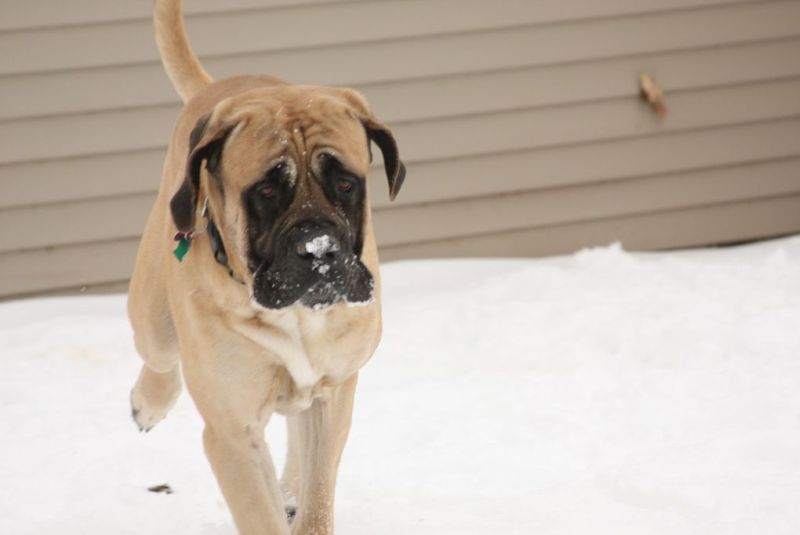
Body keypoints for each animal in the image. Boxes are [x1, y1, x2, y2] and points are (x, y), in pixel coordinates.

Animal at [130, 2, 406, 532]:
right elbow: (260, 513)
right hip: (152, 312)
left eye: (345, 183)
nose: (319, 249)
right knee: (159, 355)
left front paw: (302, 503)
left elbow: (318, 494)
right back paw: (147, 402)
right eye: (266, 191)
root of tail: (217, 87)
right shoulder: (233, 432)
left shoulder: (334, 395)